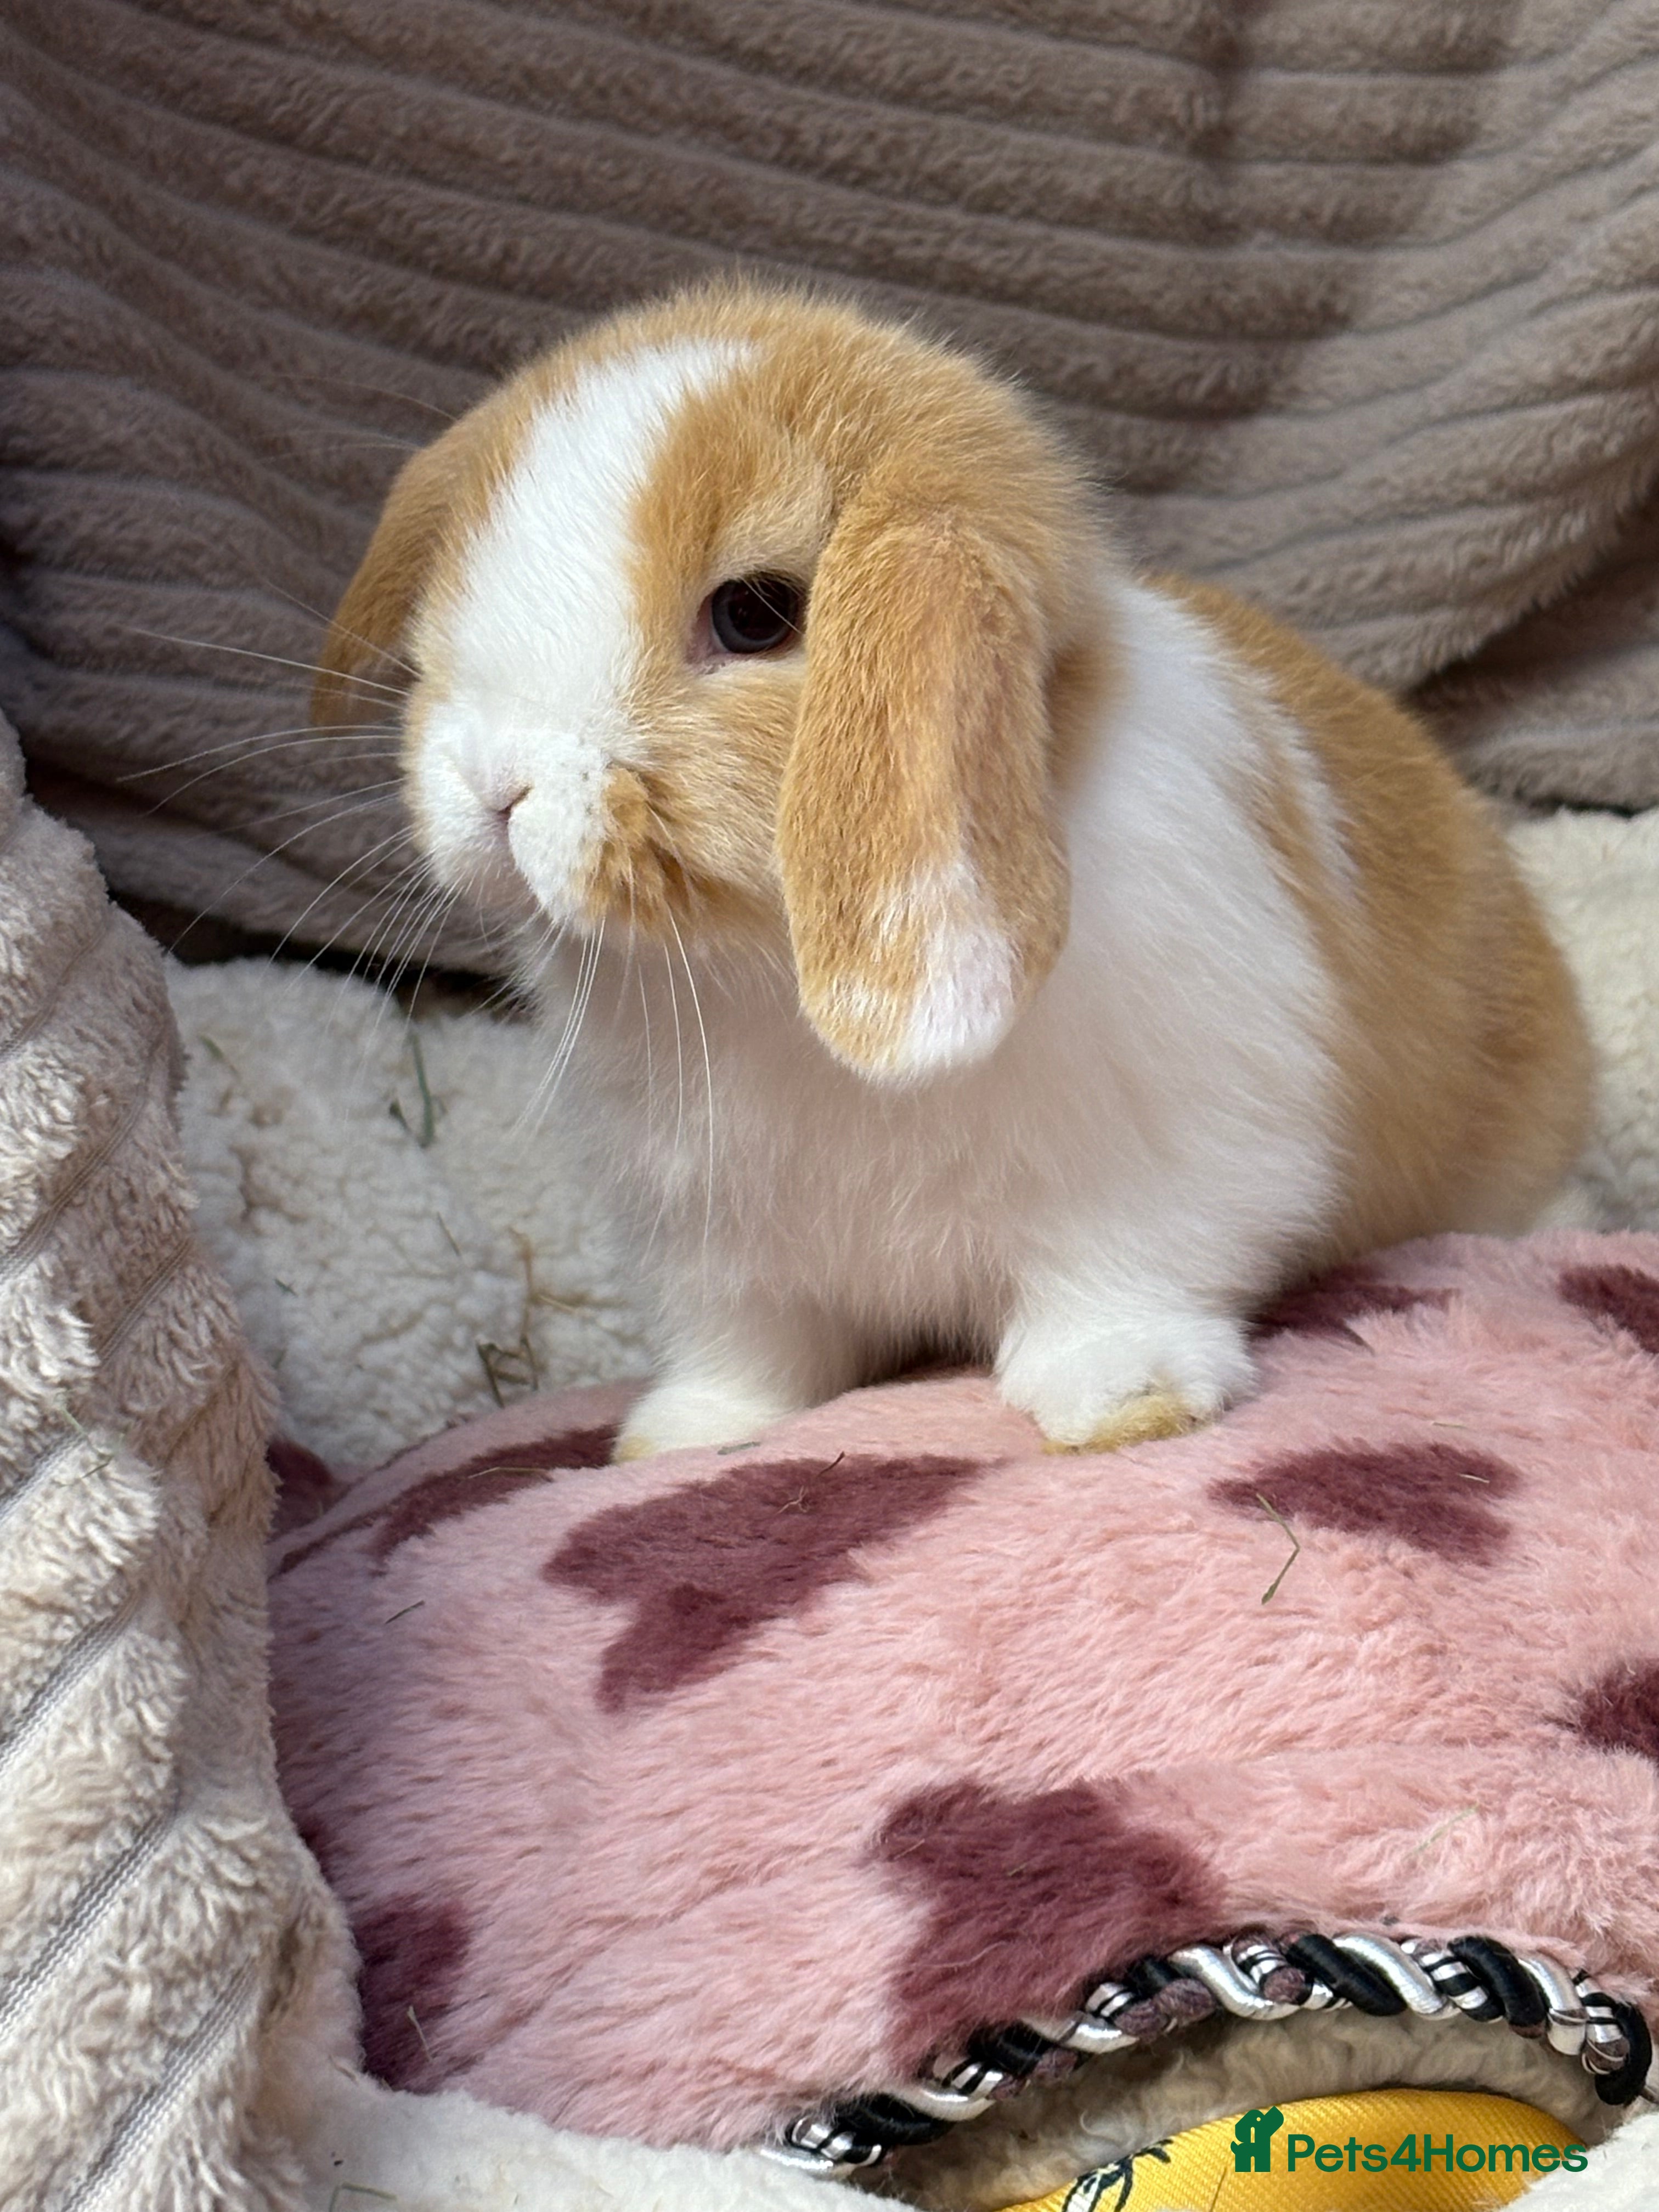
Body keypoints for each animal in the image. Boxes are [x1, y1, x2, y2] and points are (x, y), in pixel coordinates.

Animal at [314, 282, 1593, 1461]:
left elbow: (1116, 1285)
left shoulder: (1166, 1169)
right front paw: (679, 1438)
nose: (494, 781)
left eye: (754, 613)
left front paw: (1125, 1400)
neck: (764, 975)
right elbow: (751, 1354)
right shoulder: (724, 1255)